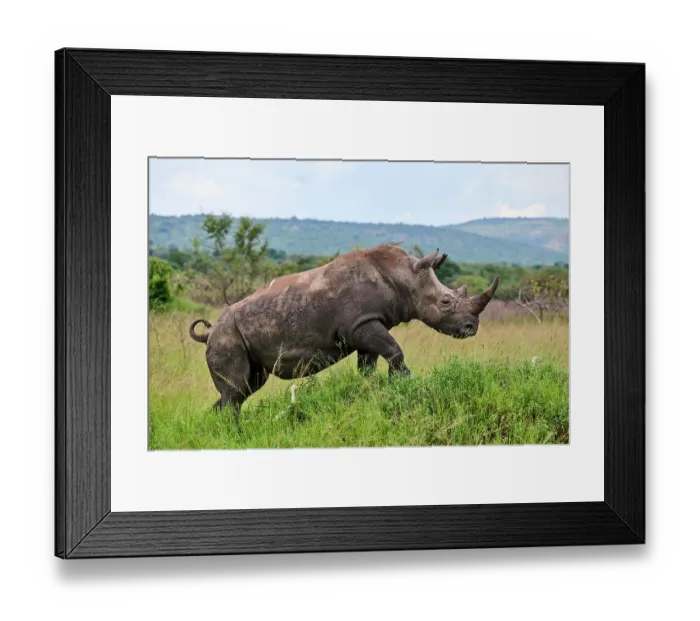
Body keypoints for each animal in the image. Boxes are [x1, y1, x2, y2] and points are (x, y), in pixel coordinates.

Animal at [189, 244, 499, 417]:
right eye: (446, 302)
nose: (472, 328)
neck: (403, 276)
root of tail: (209, 332)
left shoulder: (366, 325)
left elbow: (369, 366)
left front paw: (374, 389)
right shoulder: (359, 324)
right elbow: (394, 351)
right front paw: (404, 382)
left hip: (232, 336)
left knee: (244, 388)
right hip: (226, 336)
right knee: (236, 391)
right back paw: (233, 432)